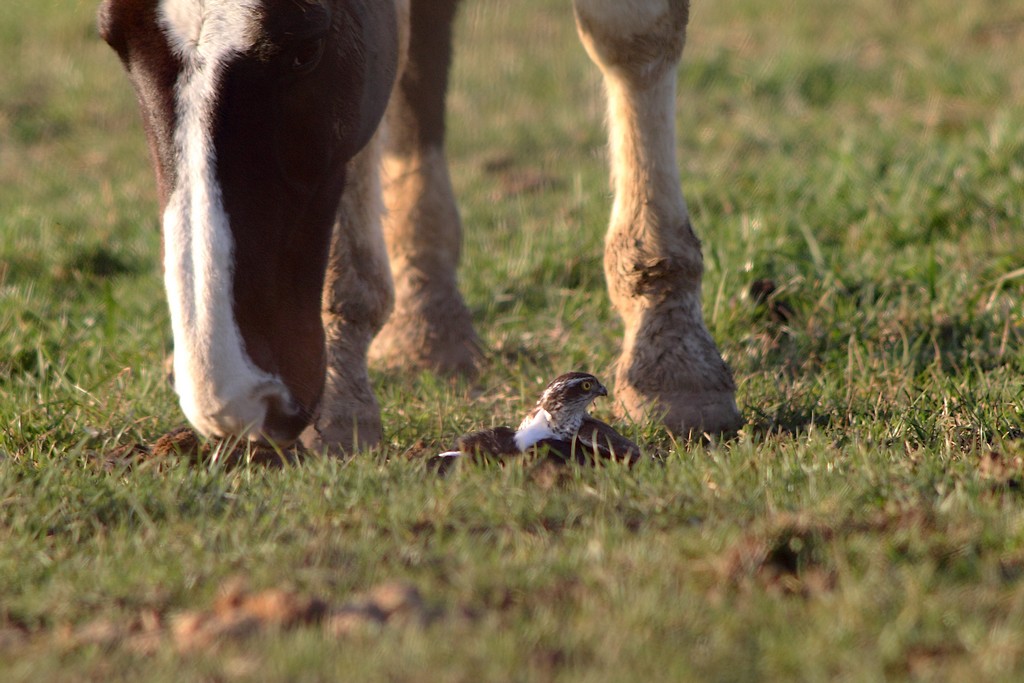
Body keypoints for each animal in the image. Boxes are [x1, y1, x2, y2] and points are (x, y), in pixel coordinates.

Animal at [97, 0, 745, 450]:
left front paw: (671, 358)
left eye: (306, 50)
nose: (232, 398)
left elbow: (632, 34)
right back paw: (427, 319)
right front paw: (344, 394)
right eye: (114, 43)